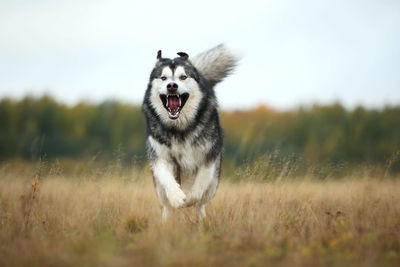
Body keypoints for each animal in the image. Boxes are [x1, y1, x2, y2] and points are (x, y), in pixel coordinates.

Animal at [142, 43, 239, 220]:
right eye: (164, 78)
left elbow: (199, 185)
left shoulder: (208, 157)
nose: (171, 86)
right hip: (159, 189)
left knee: (201, 204)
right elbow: (167, 179)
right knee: (166, 205)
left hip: (213, 184)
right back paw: (167, 221)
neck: (180, 128)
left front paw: (190, 198)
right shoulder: (160, 156)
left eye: (183, 77)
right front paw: (177, 197)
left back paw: (201, 219)